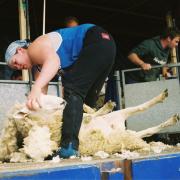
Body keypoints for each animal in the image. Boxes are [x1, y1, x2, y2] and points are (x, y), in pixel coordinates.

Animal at [0, 89, 179, 162]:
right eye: (37, 104)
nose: (62, 101)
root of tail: (121, 129)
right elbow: (87, 117)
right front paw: (99, 109)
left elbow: (89, 114)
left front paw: (98, 107)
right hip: (126, 132)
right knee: (147, 128)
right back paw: (170, 117)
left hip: (120, 118)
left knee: (141, 110)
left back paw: (164, 103)